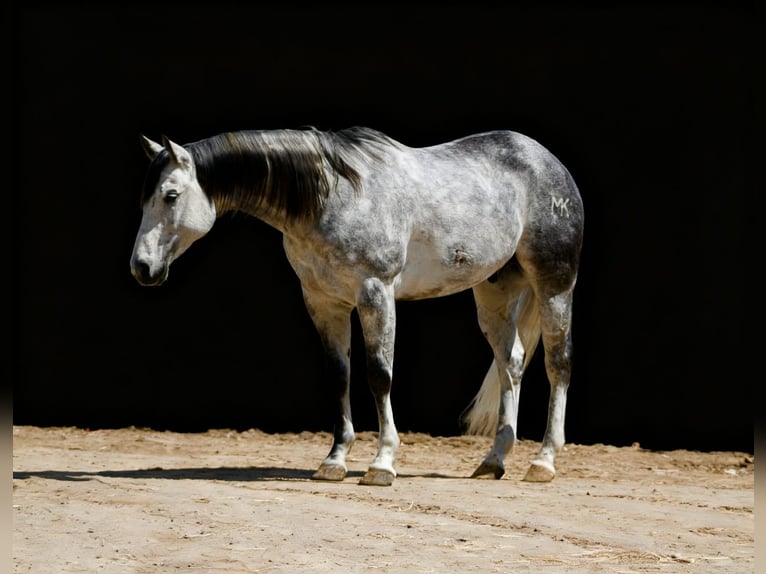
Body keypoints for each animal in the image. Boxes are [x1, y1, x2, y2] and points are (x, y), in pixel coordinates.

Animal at [130, 126, 584, 486]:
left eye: (170, 195)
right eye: (145, 200)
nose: (142, 267)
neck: (333, 196)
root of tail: (547, 161)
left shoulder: (375, 293)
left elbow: (379, 375)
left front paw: (382, 464)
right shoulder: (323, 302)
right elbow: (339, 376)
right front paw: (334, 461)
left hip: (553, 284)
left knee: (558, 363)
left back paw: (543, 462)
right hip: (495, 292)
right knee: (512, 363)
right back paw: (493, 461)